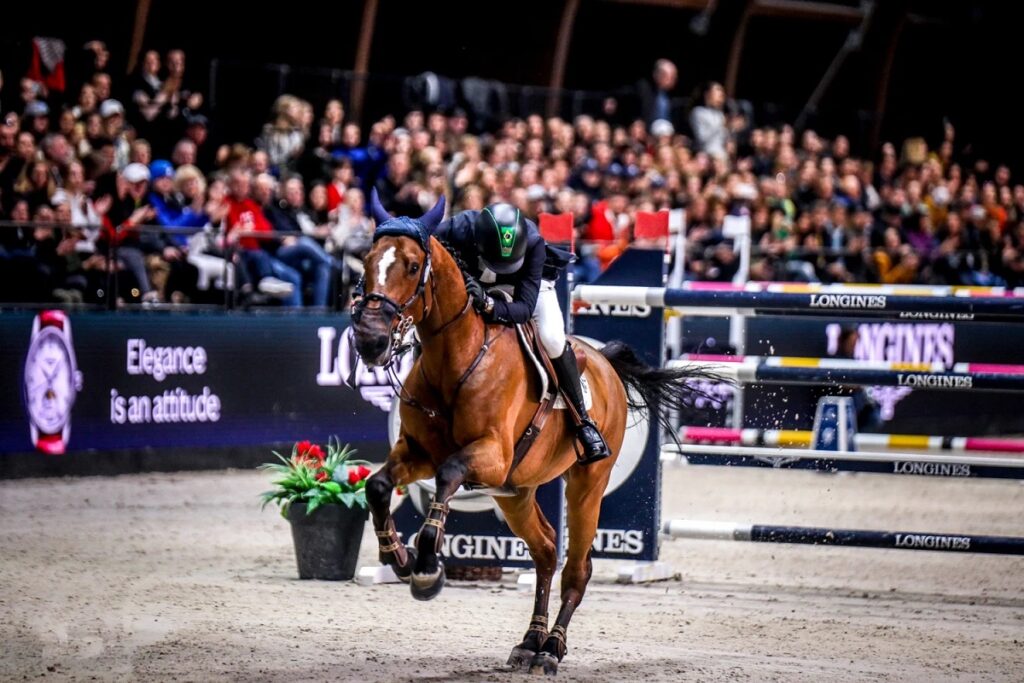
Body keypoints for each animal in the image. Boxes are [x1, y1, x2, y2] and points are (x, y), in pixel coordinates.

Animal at [354, 194, 704, 675]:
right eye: (368, 260)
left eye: (411, 266)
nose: (369, 341)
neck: (455, 357)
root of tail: (606, 363)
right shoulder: (417, 452)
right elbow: (378, 485)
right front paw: (397, 557)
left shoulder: (489, 455)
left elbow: (448, 475)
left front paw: (426, 567)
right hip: (515, 492)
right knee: (545, 551)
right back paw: (529, 642)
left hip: (585, 484)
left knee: (576, 567)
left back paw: (551, 649)